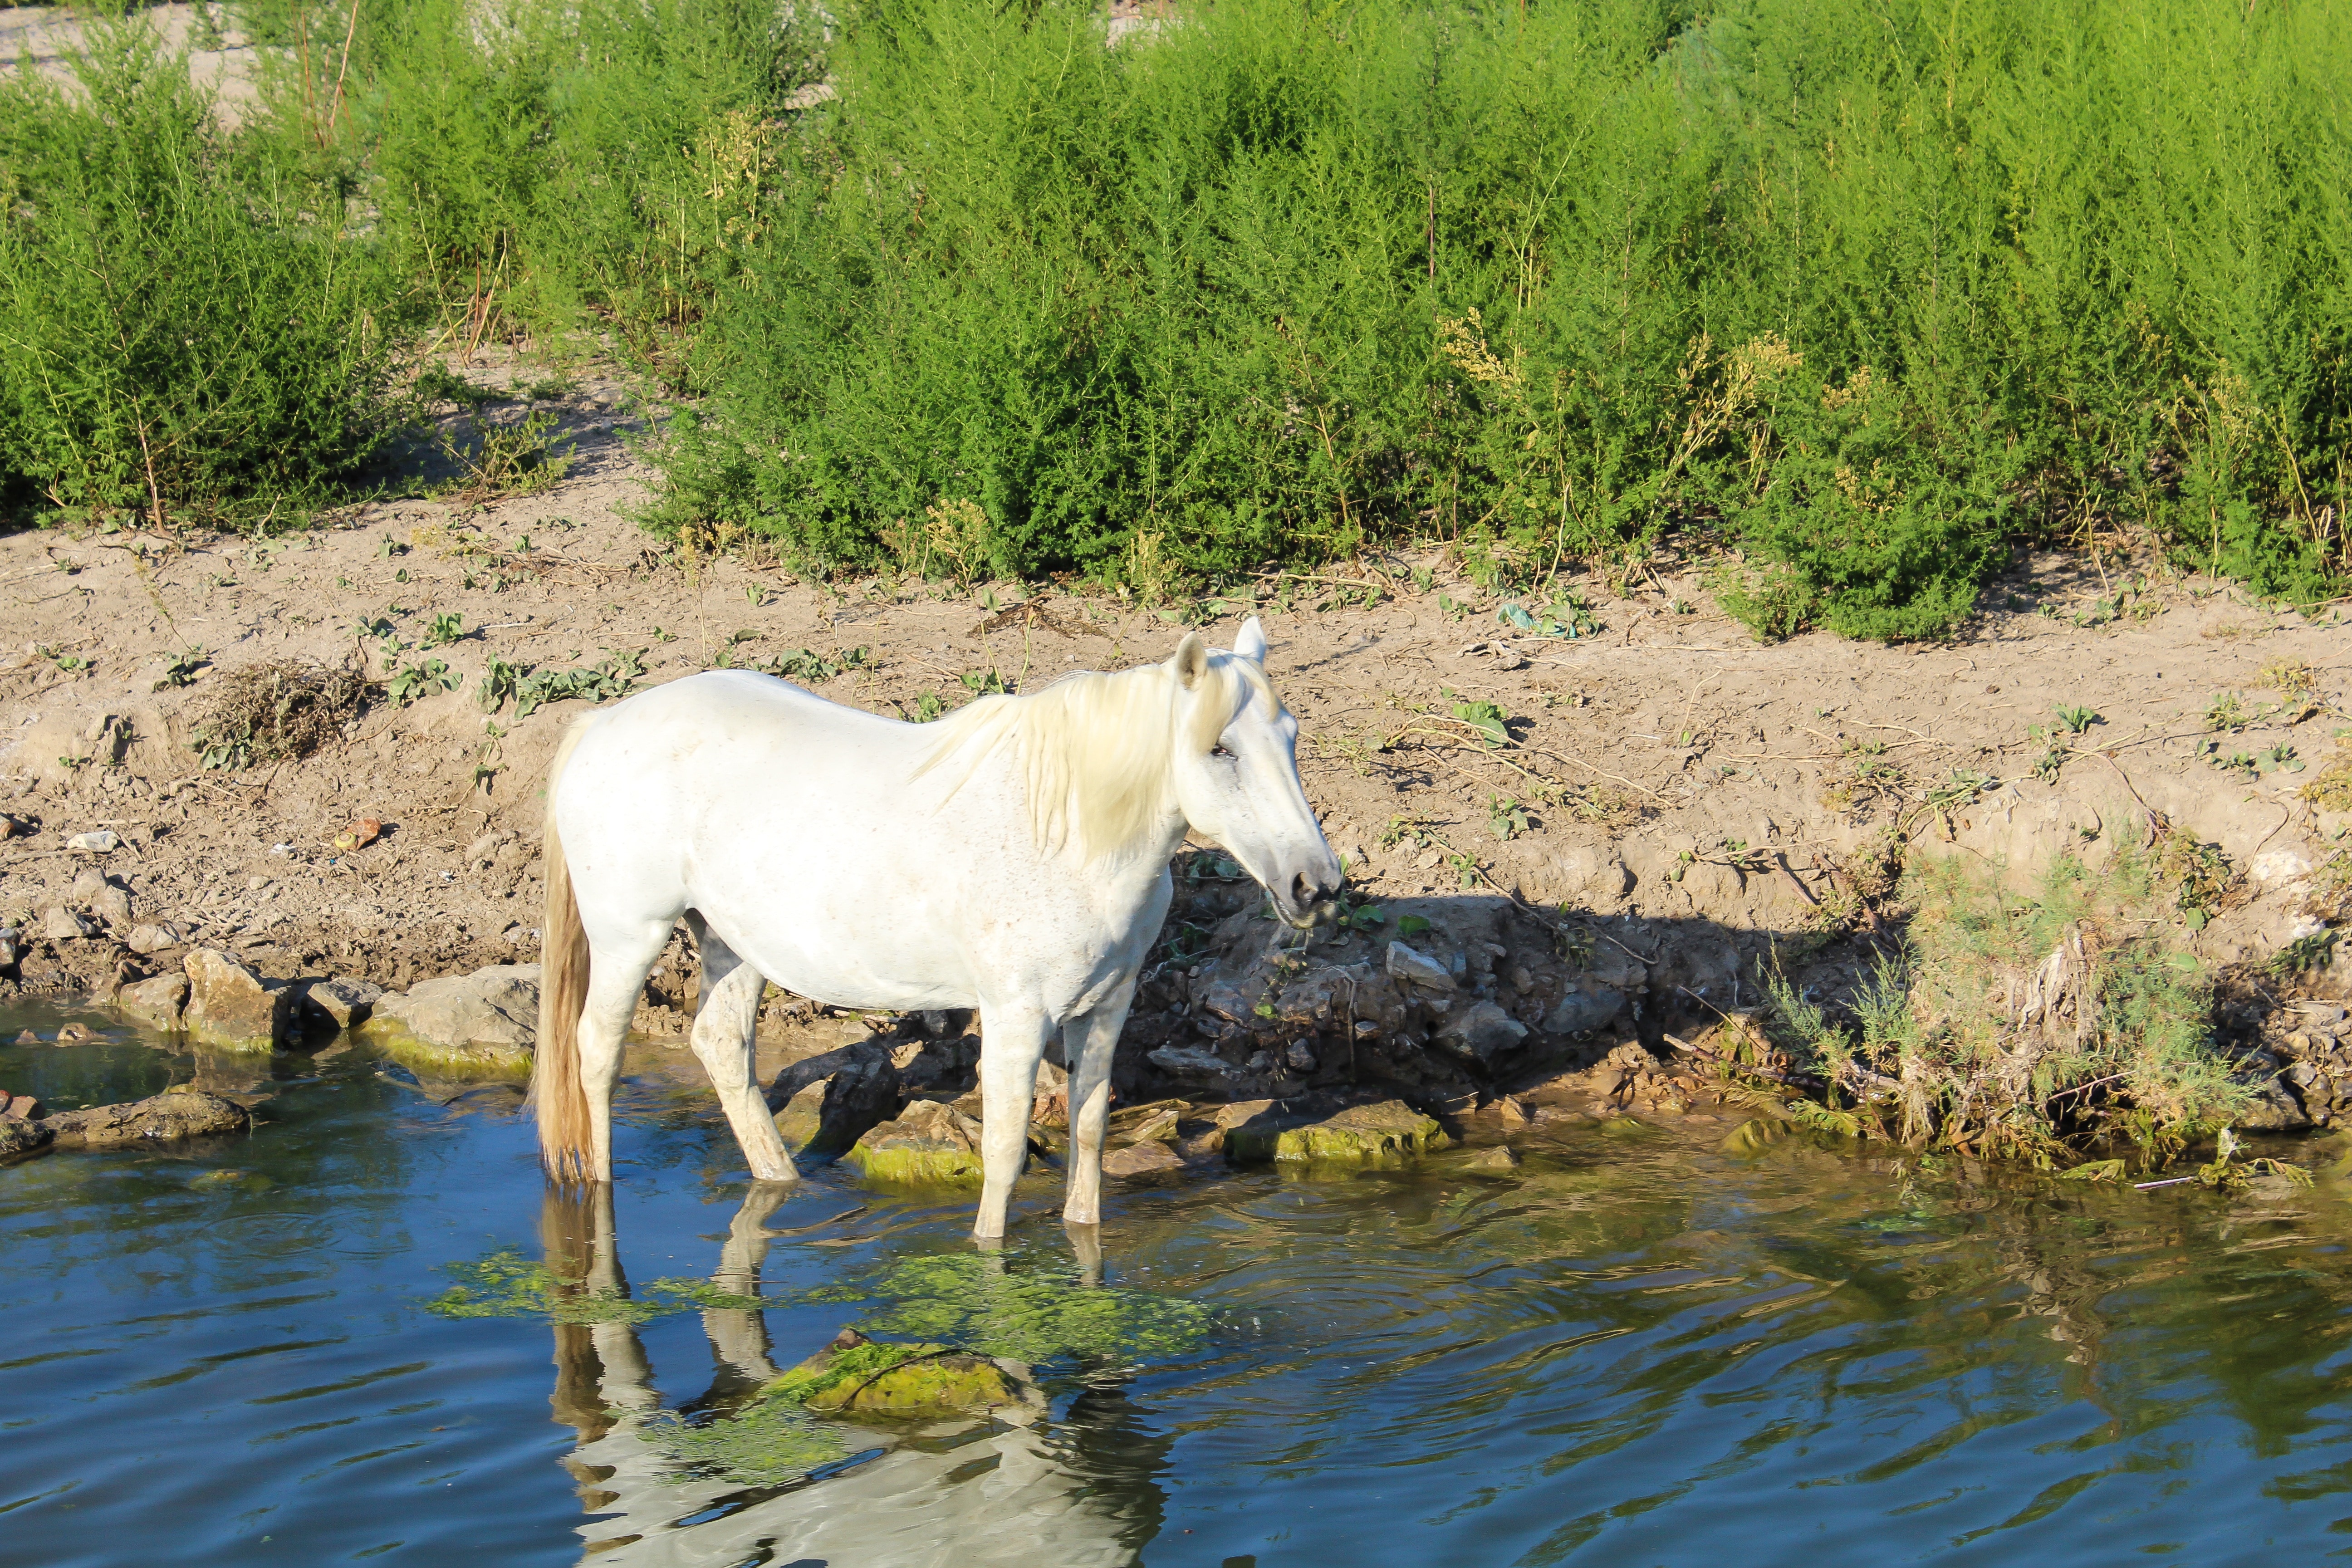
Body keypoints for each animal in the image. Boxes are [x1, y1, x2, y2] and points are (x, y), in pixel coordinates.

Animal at [539, 620, 1345, 1232]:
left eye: (1291, 736)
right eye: (1219, 749)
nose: (1315, 884)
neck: (1071, 836)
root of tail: (602, 723)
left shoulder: (1106, 1008)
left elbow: (1087, 1134)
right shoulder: (1017, 1014)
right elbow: (1007, 1154)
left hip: (729, 941)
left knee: (720, 1046)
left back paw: (781, 1182)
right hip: (630, 937)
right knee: (596, 1054)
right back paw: (599, 1201)